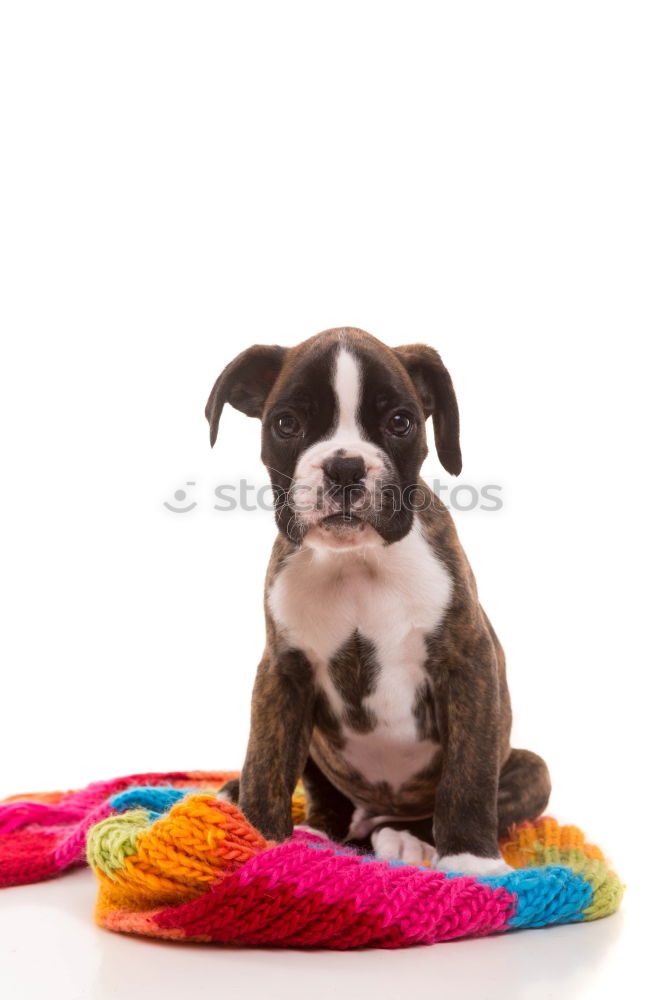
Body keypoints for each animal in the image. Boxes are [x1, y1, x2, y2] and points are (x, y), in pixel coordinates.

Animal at [205, 324, 548, 872]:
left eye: (400, 422)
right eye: (286, 423)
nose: (345, 467)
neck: (356, 562)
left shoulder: (468, 664)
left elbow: (467, 775)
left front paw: (472, 860)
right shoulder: (283, 672)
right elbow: (265, 761)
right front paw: (256, 841)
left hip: (531, 768)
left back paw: (407, 838)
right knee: (329, 804)